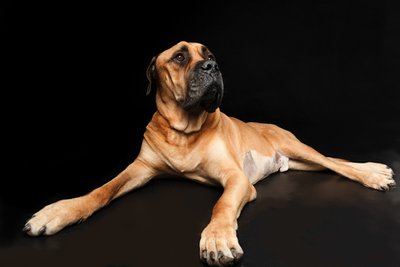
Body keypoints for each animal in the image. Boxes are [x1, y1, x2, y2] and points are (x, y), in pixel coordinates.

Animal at [23, 40, 396, 266]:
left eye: (211, 56)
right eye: (180, 57)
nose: (212, 68)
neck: (183, 131)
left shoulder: (236, 179)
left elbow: (222, 205)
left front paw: (216, 238)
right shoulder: (139, 169)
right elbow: (101, 190)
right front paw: (58, 212)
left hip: (295, 146)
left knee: (337, 163)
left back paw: (373, 173)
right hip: (298, 163)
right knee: (332, 163)